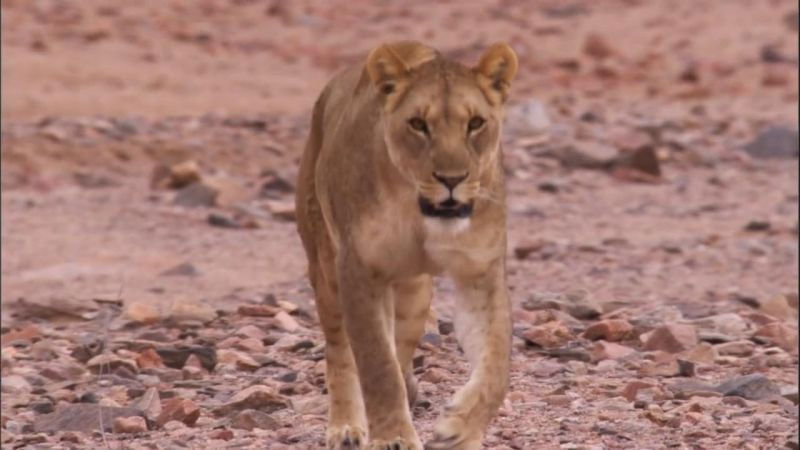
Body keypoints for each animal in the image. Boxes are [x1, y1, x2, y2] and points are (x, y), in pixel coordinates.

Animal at [295, 41, 517, 450]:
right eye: (418, 124)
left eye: (475, 123)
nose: (452, 179)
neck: (421, 214)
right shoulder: (359, 271)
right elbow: (376, 364)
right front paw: (393, 437)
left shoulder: (481, 273)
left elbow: (496, 363)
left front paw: (461, 429)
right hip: (326, 269)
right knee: (340, 351)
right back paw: (346, 426)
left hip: (415, 294)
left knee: (400, 352)